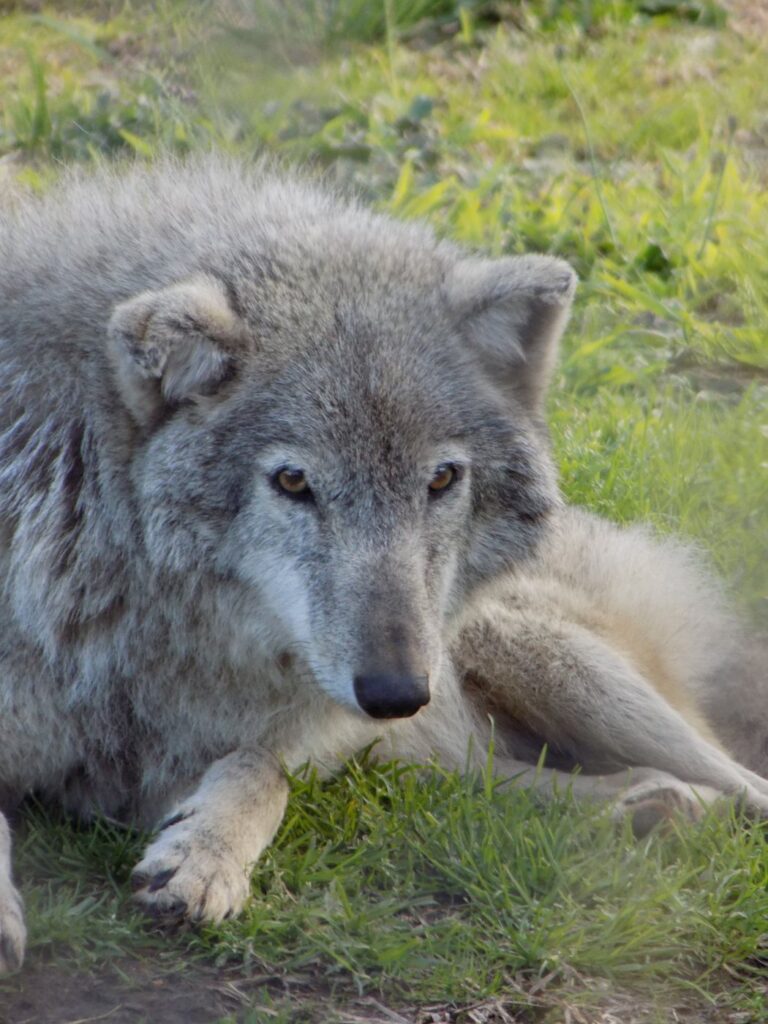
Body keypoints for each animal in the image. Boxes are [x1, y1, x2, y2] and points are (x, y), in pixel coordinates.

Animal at [0, 157, 766, 974]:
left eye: (442, 479)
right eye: (293, 482)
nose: (397, 692)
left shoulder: (285, 730)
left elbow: (260, 770)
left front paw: (205, 857)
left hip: (537, 663)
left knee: (740, 785)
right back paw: (649, 809)